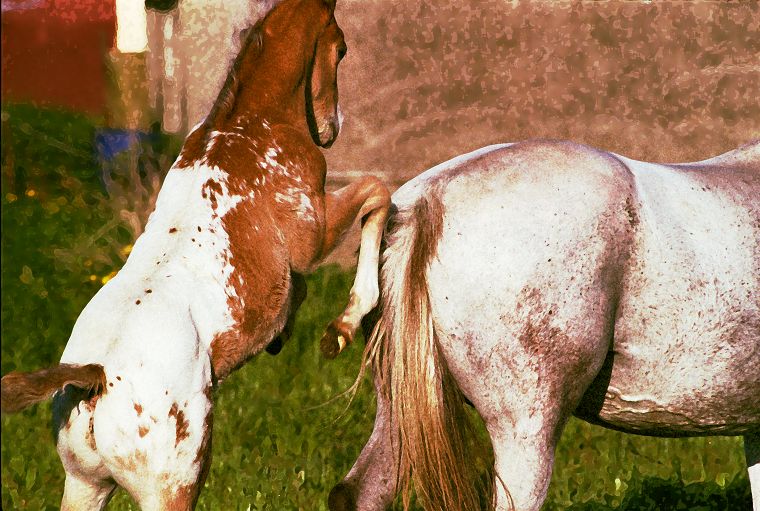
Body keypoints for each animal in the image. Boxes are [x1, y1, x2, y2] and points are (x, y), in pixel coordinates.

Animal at [0, 2, 388, 510]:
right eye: (341, 48)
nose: (331, 129)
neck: (248, 126)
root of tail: (95, 378)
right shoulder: (315, 235)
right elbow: (377, 193)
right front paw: (341, 330)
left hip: (84, 485)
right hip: (171, 491)